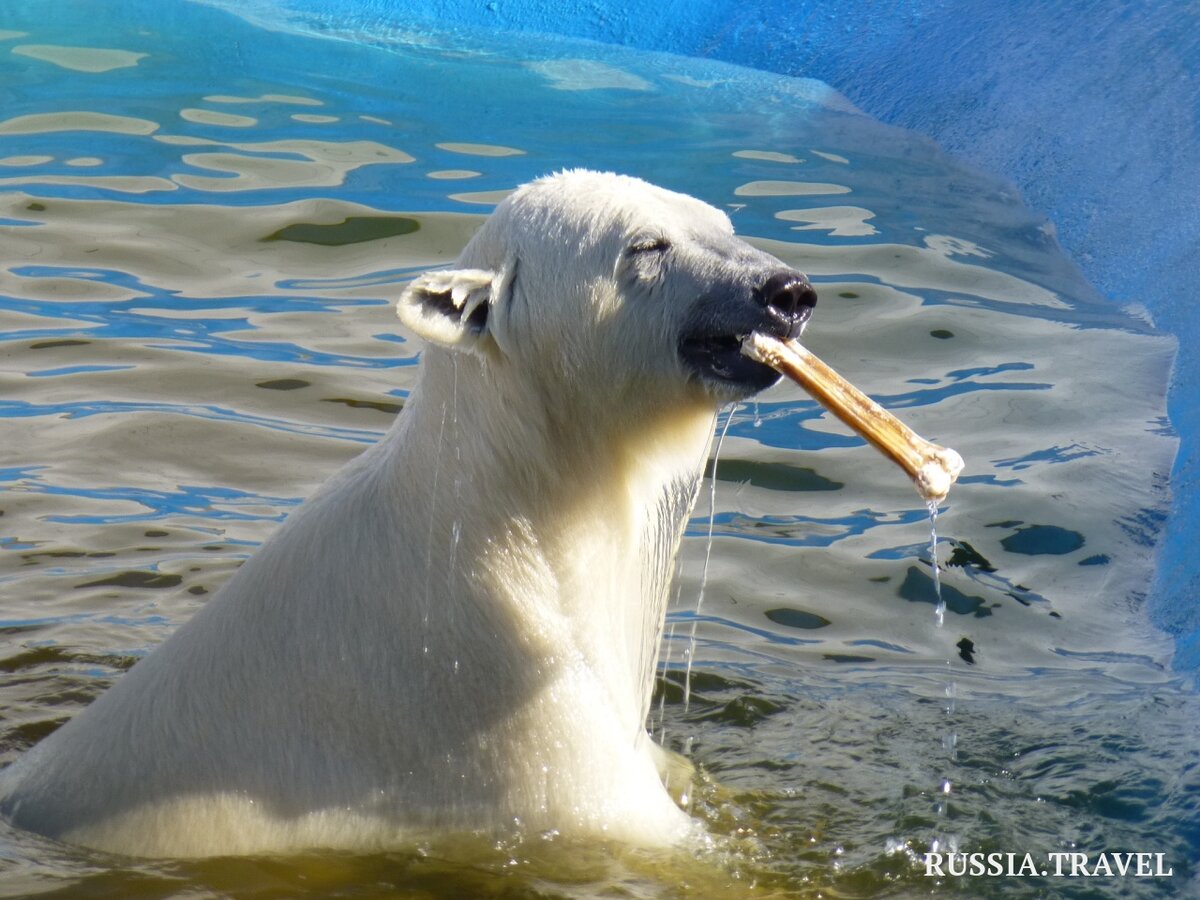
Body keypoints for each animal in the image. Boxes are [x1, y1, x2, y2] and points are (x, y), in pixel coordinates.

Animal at [0, 170, 816, 859]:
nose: (789, 291)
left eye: (722, 224)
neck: (512, 506)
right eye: (647, 245)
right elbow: (638, 828)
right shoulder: (495, 694)